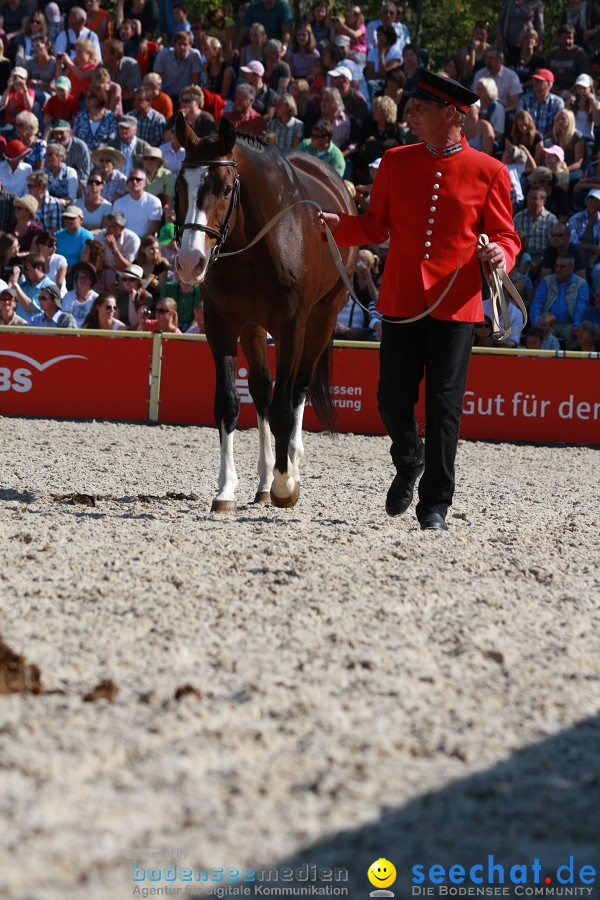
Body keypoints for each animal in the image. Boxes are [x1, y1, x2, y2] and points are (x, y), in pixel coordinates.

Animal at [173, 118, 356, 512]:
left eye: (225, 188)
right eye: (180, 185)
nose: (190, 261)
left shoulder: (292, 329)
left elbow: (284, 409)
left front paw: (285, 485)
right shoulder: (222, 325)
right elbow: (229, 403)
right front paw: (226, 489)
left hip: (322, 319)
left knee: (298, 389)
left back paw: (289, 466)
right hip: (254, 327)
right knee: (260, 391)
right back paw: (263, 481)